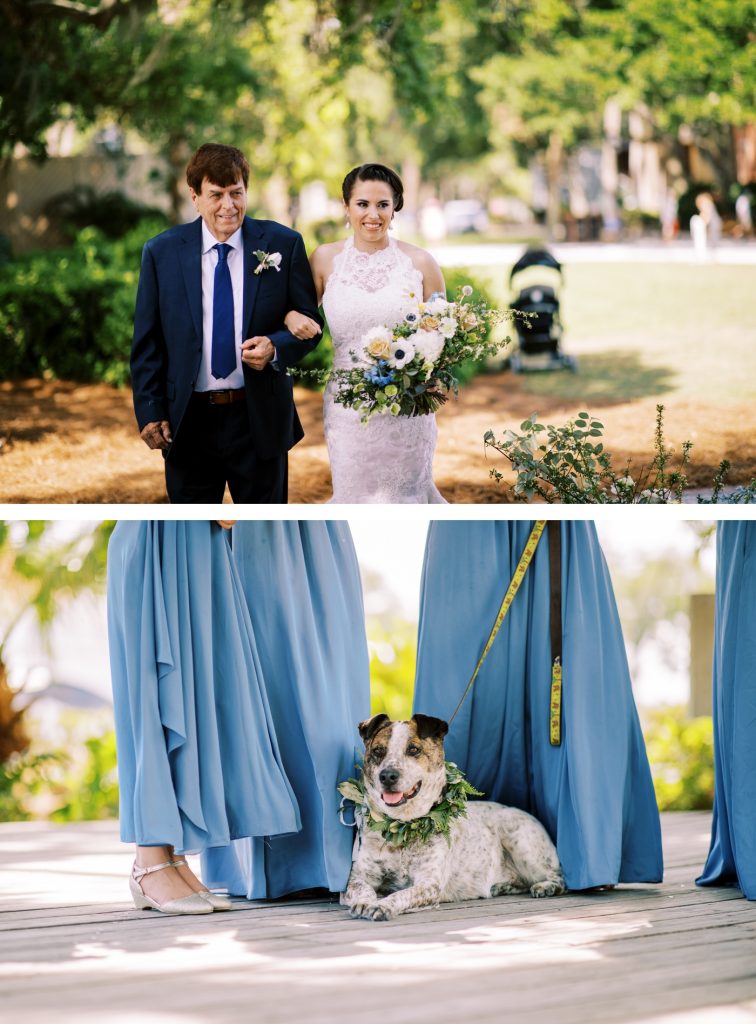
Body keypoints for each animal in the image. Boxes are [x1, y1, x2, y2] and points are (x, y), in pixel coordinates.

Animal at [338, 716, 561, 925]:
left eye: (413, 749)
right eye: (378, 751)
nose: (387, 776)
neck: (401, 828)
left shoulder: (429, 884)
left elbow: (401, 894)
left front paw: (381, 905)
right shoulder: (357, 877)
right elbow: (363, 889)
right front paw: (365, 902)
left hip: (523, 846)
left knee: (559, 878)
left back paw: (546, 887)